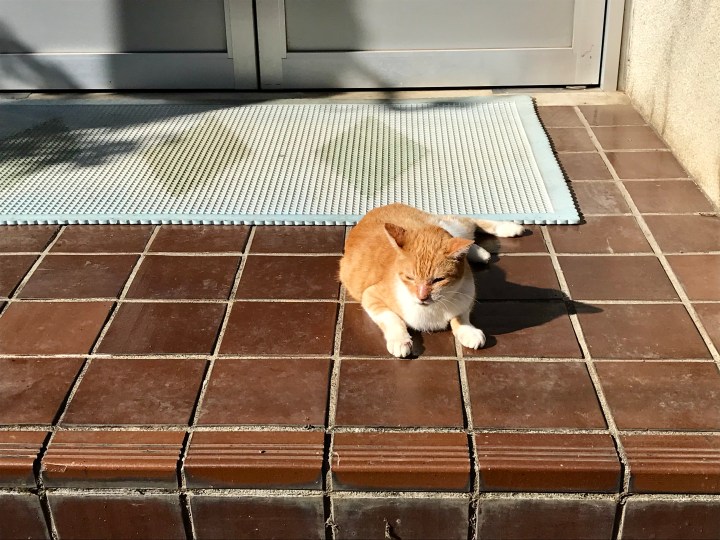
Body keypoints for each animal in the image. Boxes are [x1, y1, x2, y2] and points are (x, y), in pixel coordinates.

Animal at [339, 203, 525, 357]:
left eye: (438, 280)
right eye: (410, 278)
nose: (422, 296)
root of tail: (379, 207)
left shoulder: (468, 293)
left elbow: (461, 315)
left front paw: (468, 331)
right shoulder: (370, 296)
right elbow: (392, 319)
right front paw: (400, 340)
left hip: (454, 228)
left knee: (469, 222)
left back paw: (508, 228)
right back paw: (482, 252)